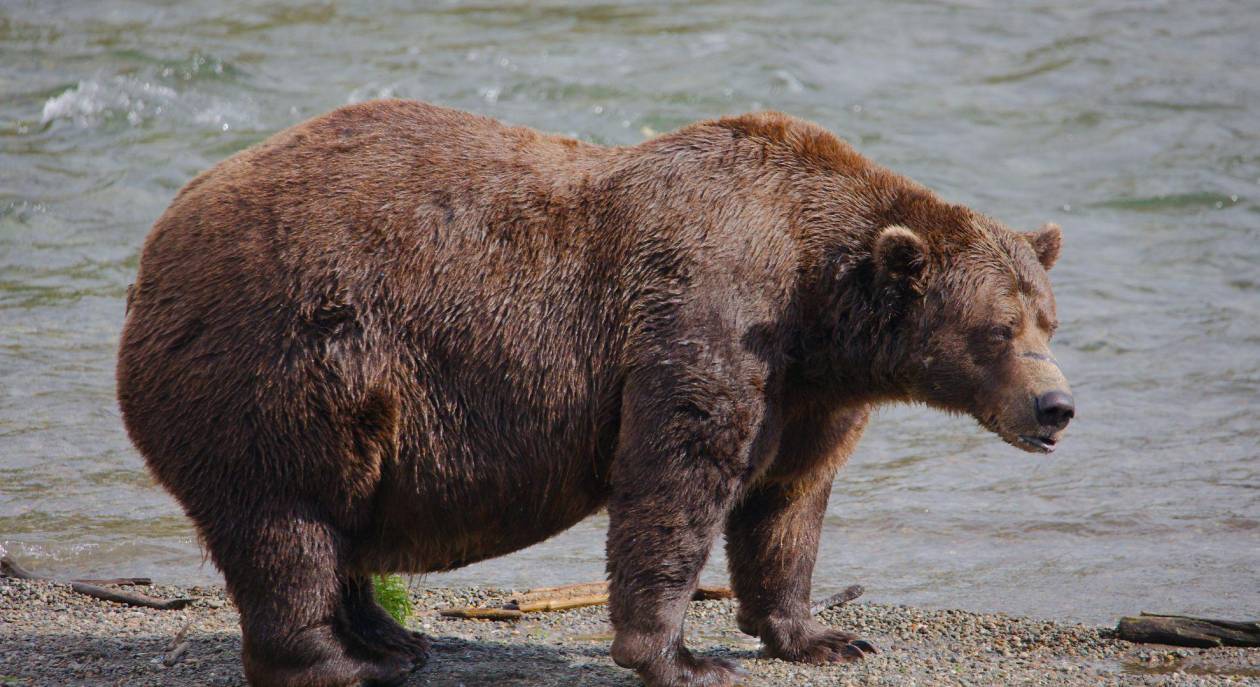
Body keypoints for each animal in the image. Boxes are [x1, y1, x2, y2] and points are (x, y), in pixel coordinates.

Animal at [115, 100, 1073, 685]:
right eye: (998, 329)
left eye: (1048, 319)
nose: (1056, 406)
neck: (817, 303)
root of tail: (154, 247)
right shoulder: (707, 317)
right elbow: (675, 481)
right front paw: (682, 657)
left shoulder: (808, 392)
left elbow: (787, 504)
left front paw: (823, 634)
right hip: (286, 360)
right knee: (289, 522)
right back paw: (342, 658)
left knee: (338, 520)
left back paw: (391, 635)